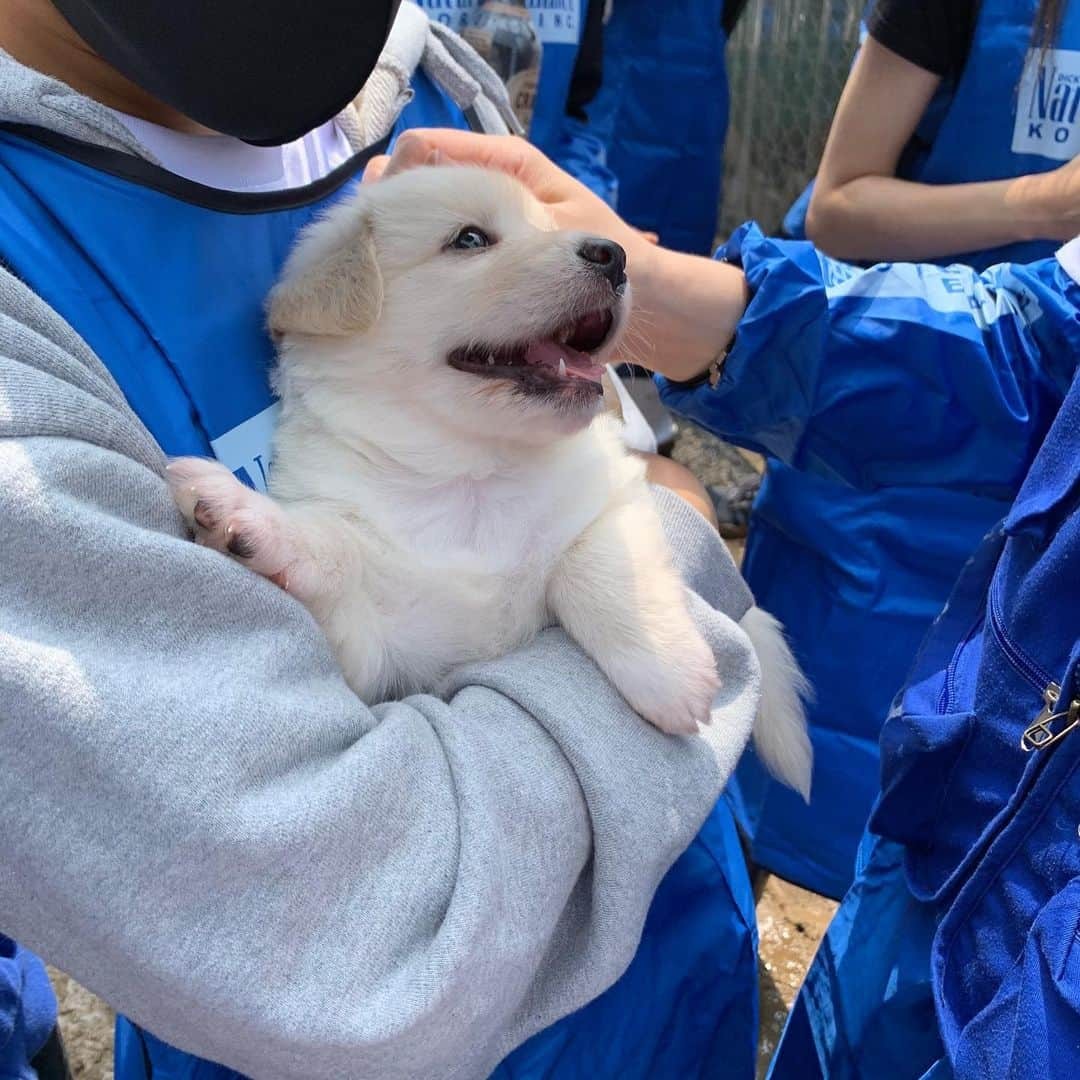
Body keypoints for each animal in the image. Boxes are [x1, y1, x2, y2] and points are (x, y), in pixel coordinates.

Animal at [168, 168, 812, 794]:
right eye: (470, 239)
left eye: (550, 226)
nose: (615, 254)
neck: (472, 472)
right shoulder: (384, 654)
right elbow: (331, 551)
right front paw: (243, 517)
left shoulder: (613, 493)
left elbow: (595, 568)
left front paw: (668, 672)